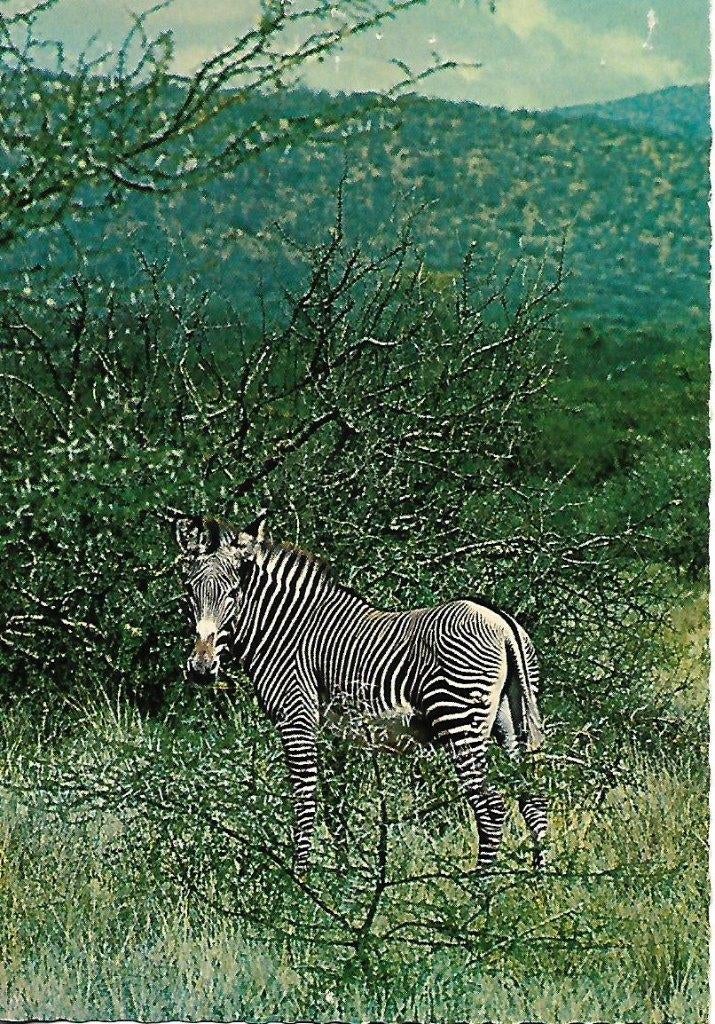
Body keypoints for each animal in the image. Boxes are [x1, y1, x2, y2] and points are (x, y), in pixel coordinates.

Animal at [175, 512, 548, 876]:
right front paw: (343, 871)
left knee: (492, 807)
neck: (283, 629)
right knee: (534, 798)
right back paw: (538, 881)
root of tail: (502, 623)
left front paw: (301, 880)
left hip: (460, 720)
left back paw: (479, 887)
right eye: (190, 591)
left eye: (233, 593)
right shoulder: (329, 729)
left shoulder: (296, 716)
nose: (200, 667)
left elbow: (304, 797)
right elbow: (334, 802)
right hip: (512, 719)